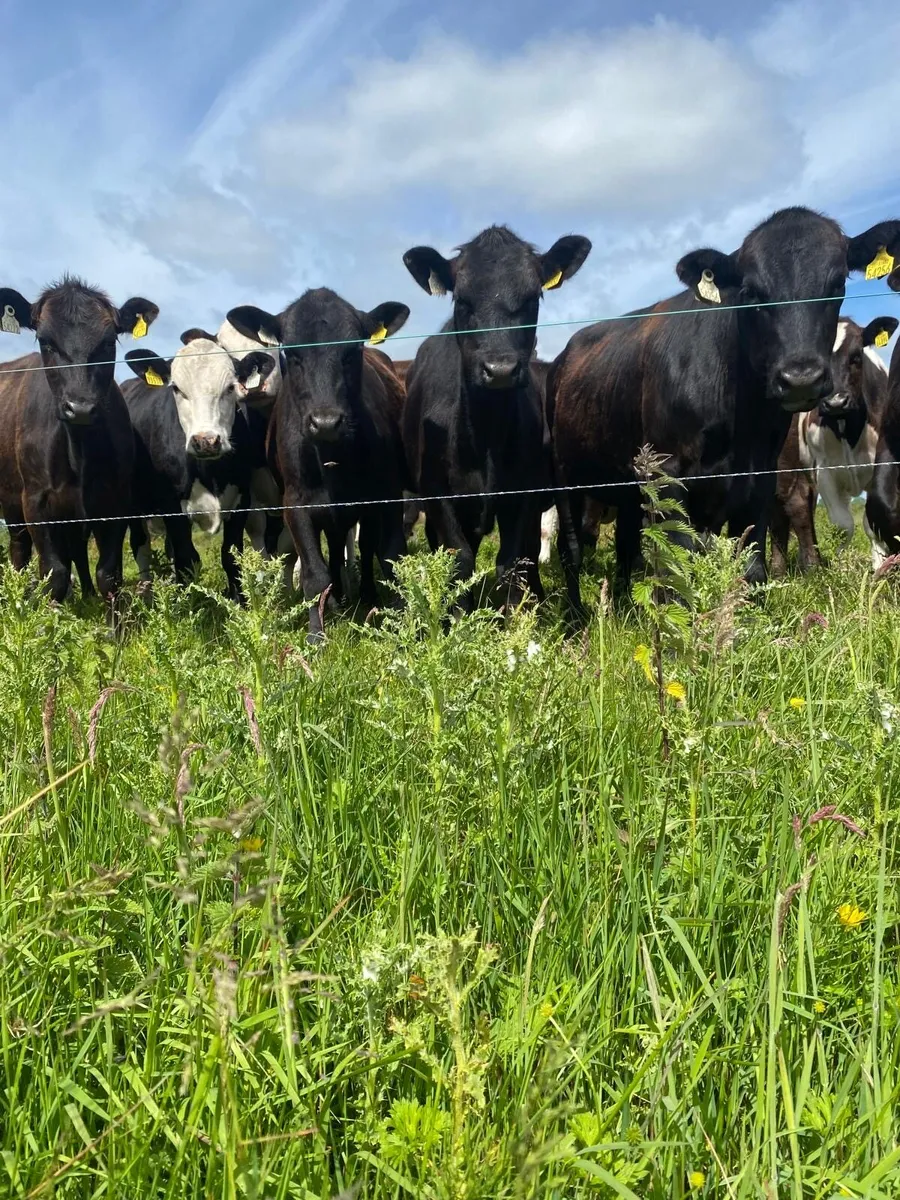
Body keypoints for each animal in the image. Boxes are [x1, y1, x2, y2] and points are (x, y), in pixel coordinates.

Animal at [0, 276, 157, 606]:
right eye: (45, 341)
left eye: (108, 342)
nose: (81, 407)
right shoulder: (35, 502)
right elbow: (55, 573)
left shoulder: (115, 501)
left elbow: (108, 574)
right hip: (11, 500)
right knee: (19, 550)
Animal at [122, 332, 276, 599]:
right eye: (176, 388)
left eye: (230, 387)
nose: (206, 441)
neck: (210, 472)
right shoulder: (172, 507)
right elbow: (187, 561)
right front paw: (190, 604)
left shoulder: (241, 500)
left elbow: (231, 557)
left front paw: (239, 601)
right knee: (141, 547)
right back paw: (146, 593)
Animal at [226, 288, 410, 641]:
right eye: (291, 353)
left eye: (353, 350)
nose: (326, 422)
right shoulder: (296, 504)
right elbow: (313, 573)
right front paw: (317, 635)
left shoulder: (386, 496)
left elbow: (391, 557)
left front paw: (399, 622)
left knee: (363, 549)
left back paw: (363, 595)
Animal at [401, 225, 591, 608]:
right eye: (462, 300)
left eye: (533, 298)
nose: (500, 369)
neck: (484, 433)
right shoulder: (439, 495)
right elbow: (459, 559)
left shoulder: (523, 493)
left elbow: (512, 561)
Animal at [548, 208, 900, 616]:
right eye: (750, 292)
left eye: (837, 283)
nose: (800, 379)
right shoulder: (667, 474)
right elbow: (676, 574)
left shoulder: (760, 478)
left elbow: (752, 568)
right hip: (567, 479)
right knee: (571, 548)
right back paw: (576, 617)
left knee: (624, 544)